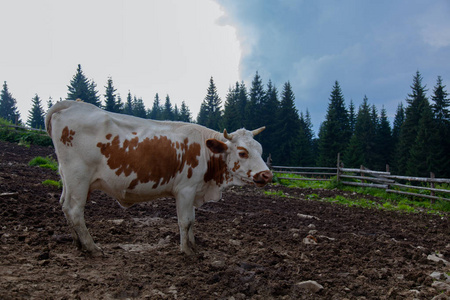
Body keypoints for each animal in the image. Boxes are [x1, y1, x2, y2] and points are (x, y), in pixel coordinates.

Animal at [45, 101, 272, 255]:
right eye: (242, 152)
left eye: (261, 150)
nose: (267, 174)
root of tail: (73, 104)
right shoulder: (185, 190)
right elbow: (185, 221)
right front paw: (186, 251)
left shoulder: (193, 191)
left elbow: (192, 221)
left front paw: (193, 245)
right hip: (78, 178)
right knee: (74, 210)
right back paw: (92, 248)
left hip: (68, 179)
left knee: (64, 205)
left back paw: (78, 244)